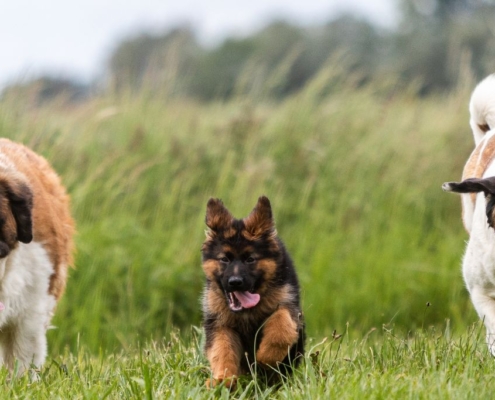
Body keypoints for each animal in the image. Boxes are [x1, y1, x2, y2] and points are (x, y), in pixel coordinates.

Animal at [201, 197, 302, 388]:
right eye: (224, 259)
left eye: (250, 259)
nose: (235, 282)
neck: (246, 312)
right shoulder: (219, 323)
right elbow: (222, 349)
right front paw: (223, 380)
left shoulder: (289, 304)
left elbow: (282, 323)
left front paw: (267, 356)